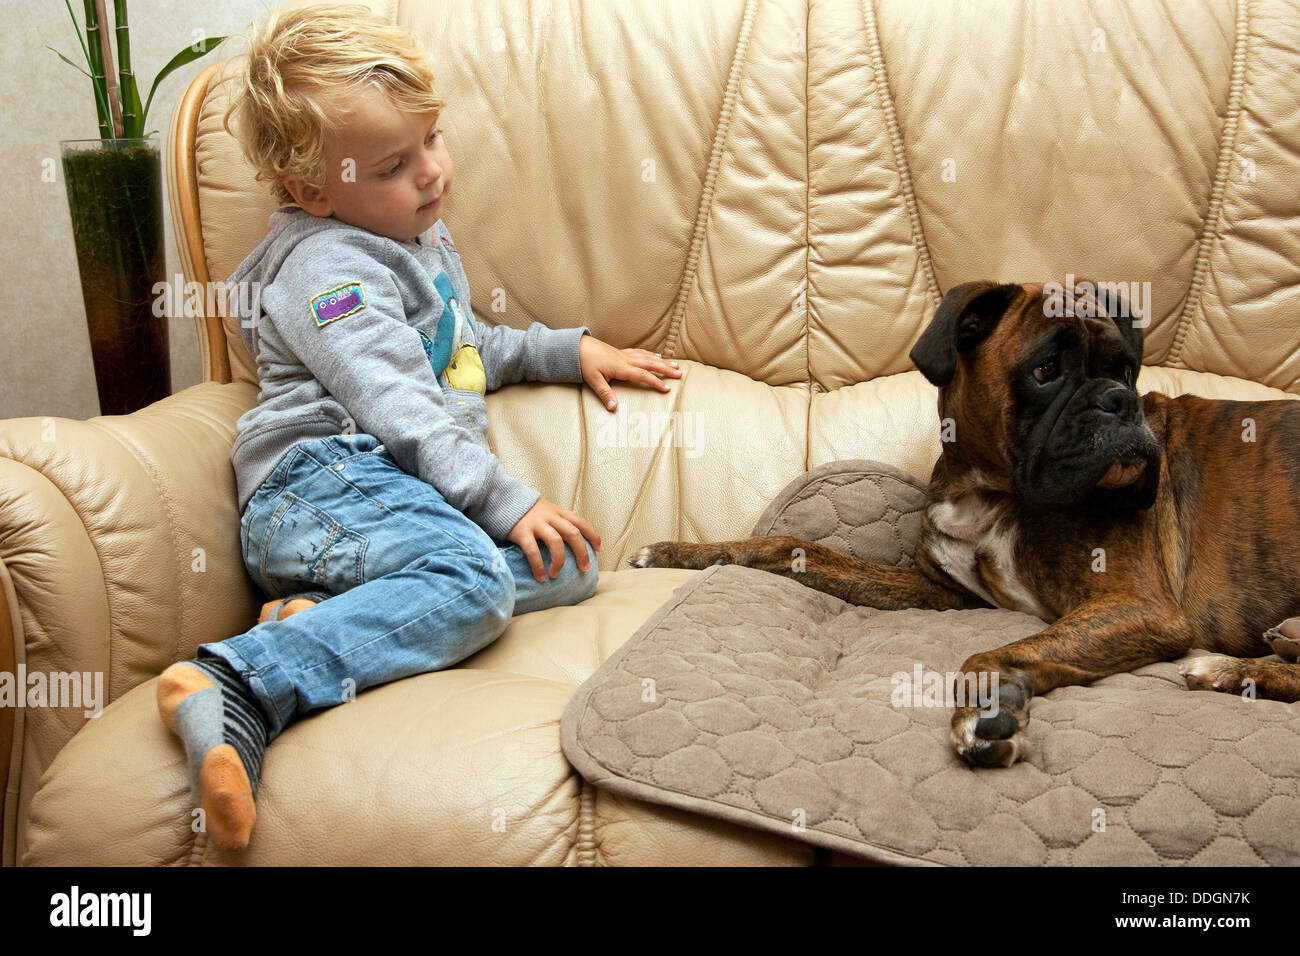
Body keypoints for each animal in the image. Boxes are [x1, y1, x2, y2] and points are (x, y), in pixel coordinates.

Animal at [629, 278, 1300, 770]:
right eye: (1045, 371)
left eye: (1128, 370)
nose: (1122, 400)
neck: (994, 495)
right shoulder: (942, 592)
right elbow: (790, 547)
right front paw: (679, 553)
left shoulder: (1139, 609)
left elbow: (991, 654)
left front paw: (989, 710)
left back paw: (1233, 667)